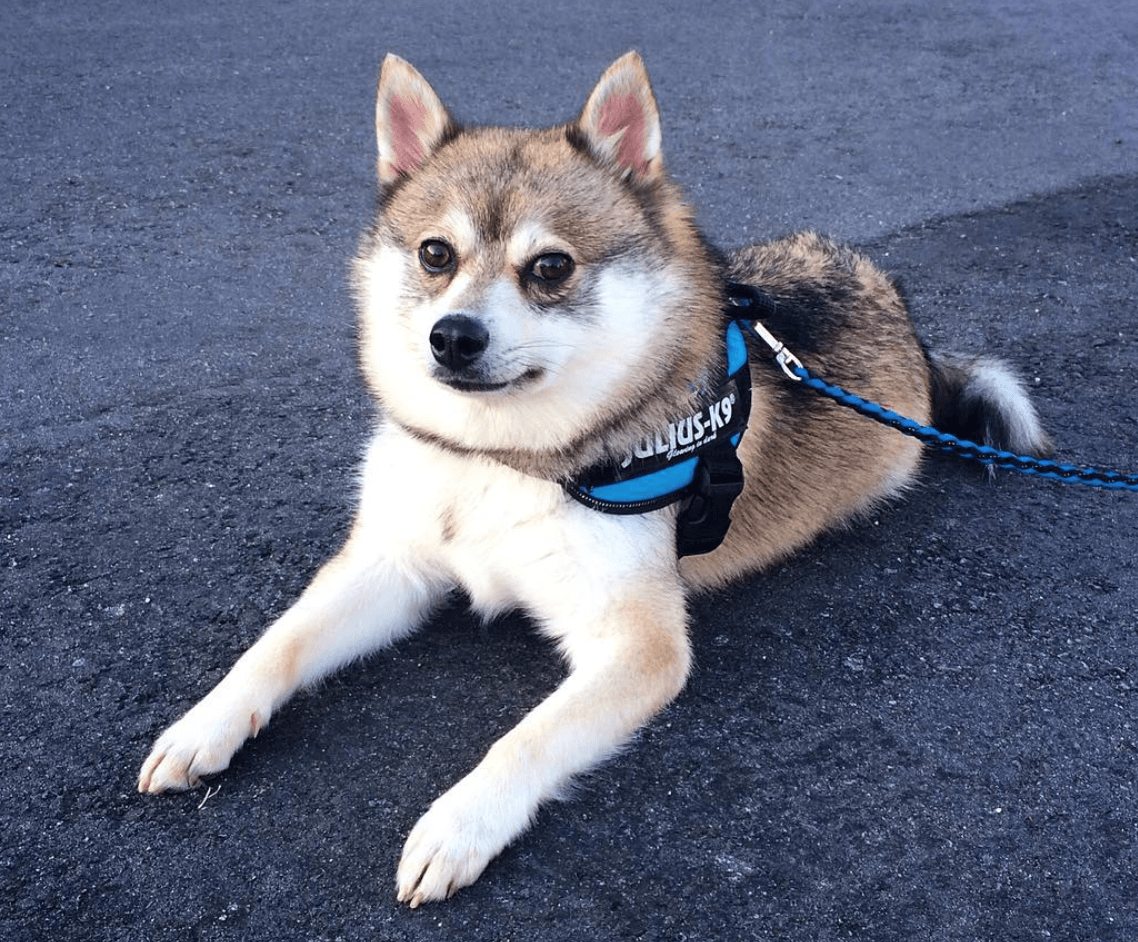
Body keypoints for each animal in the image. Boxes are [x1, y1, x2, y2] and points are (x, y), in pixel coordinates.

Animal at [135, 51, 1046, 905]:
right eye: (435, 254)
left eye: (549, 267)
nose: (451, 337)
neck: (499, 459)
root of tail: (898, 307)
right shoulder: (390, 565)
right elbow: (278, 644)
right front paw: (207, 722)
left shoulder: (638, 646)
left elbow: (525, 737)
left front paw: (460, 824)